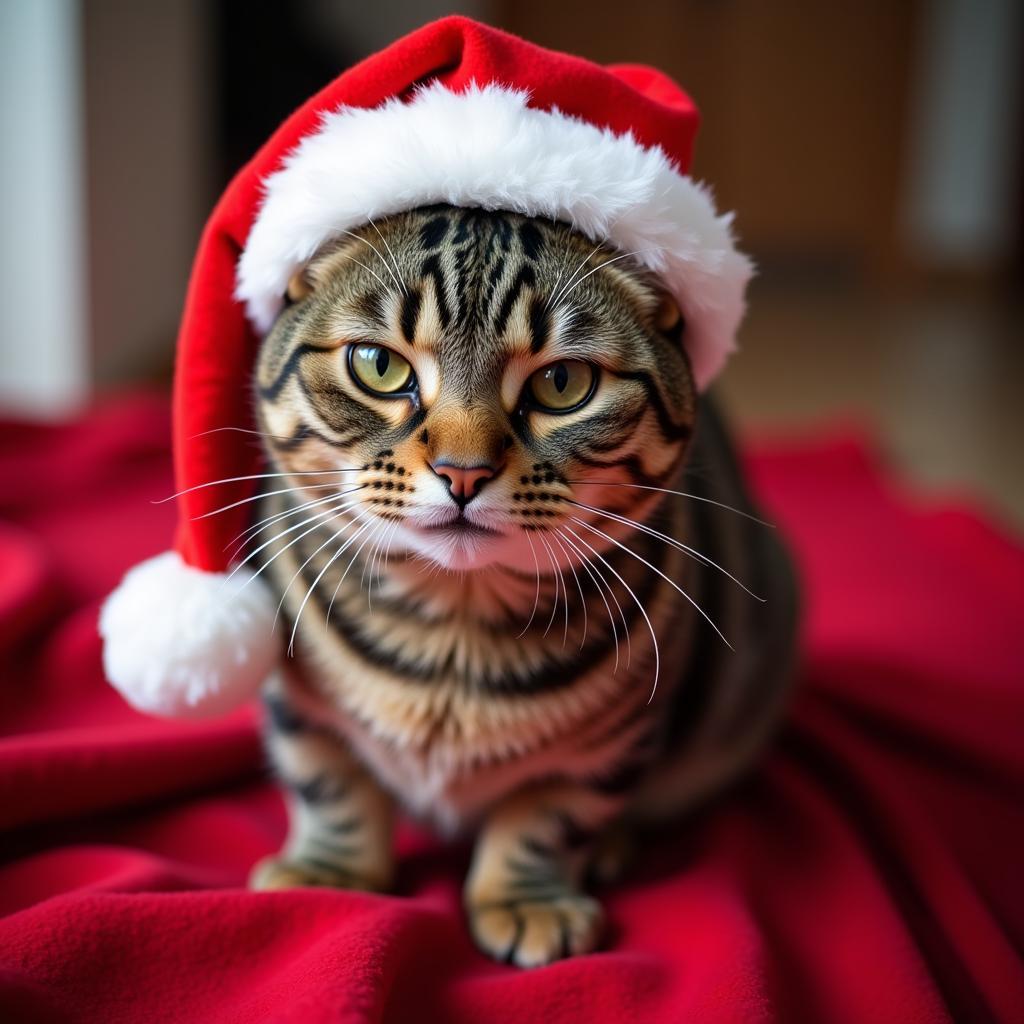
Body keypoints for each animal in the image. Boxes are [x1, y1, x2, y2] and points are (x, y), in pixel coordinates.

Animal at [243, 201, 794, 966]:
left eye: (563, 384)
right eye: (379, 366)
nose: (462, 470)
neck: (455, 630)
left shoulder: (609, 747)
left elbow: (546, 821)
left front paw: (526, 901)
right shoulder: (299, 706)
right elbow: (330, 788)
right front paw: (330, 873)